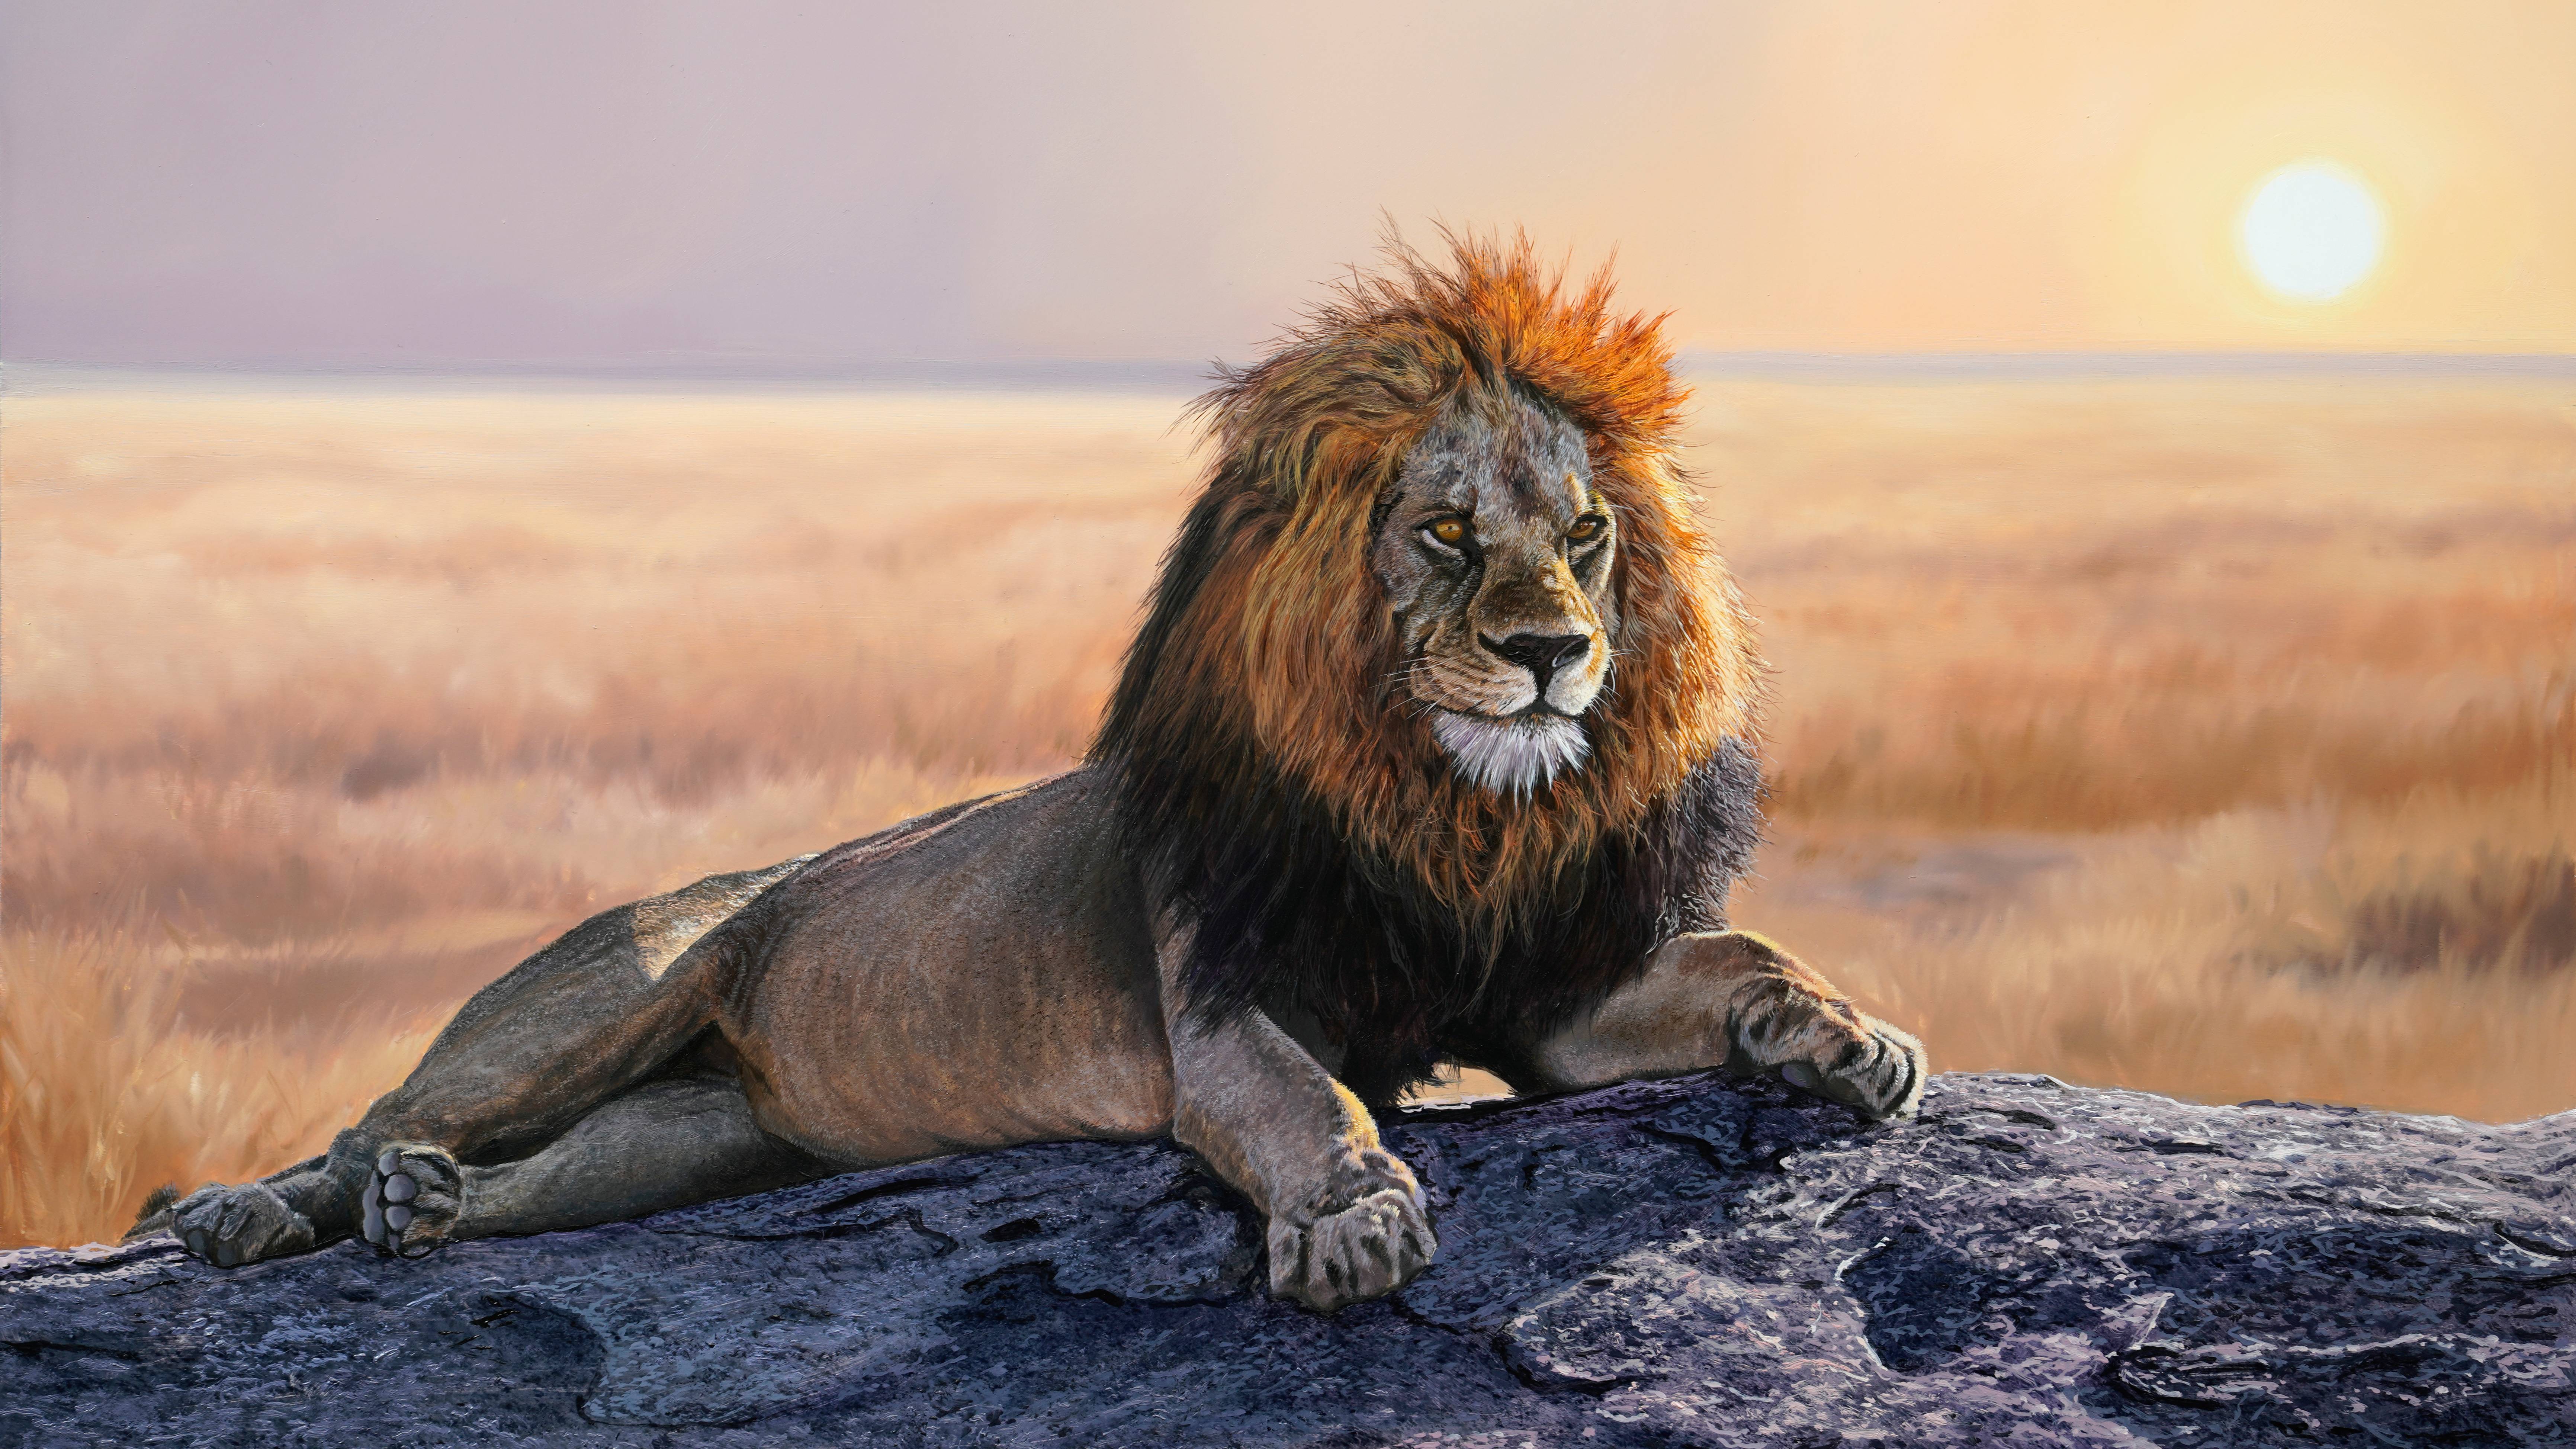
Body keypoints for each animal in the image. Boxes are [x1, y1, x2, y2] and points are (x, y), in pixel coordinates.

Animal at [139, 235, 1926, 1312]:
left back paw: (427, 1212)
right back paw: (244, 1212)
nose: (1553, 648)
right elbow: (1315, 1100)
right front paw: (1353, 1218)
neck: (1440, 807)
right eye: (1439, 533)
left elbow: (1738, 955)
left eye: (1584, 533)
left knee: (502, 1179)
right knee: (371, 1117)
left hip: (703, 1134)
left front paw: (1850, 1033)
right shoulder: (1220, 1014)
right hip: (598, 999)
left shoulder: (1546, 994)